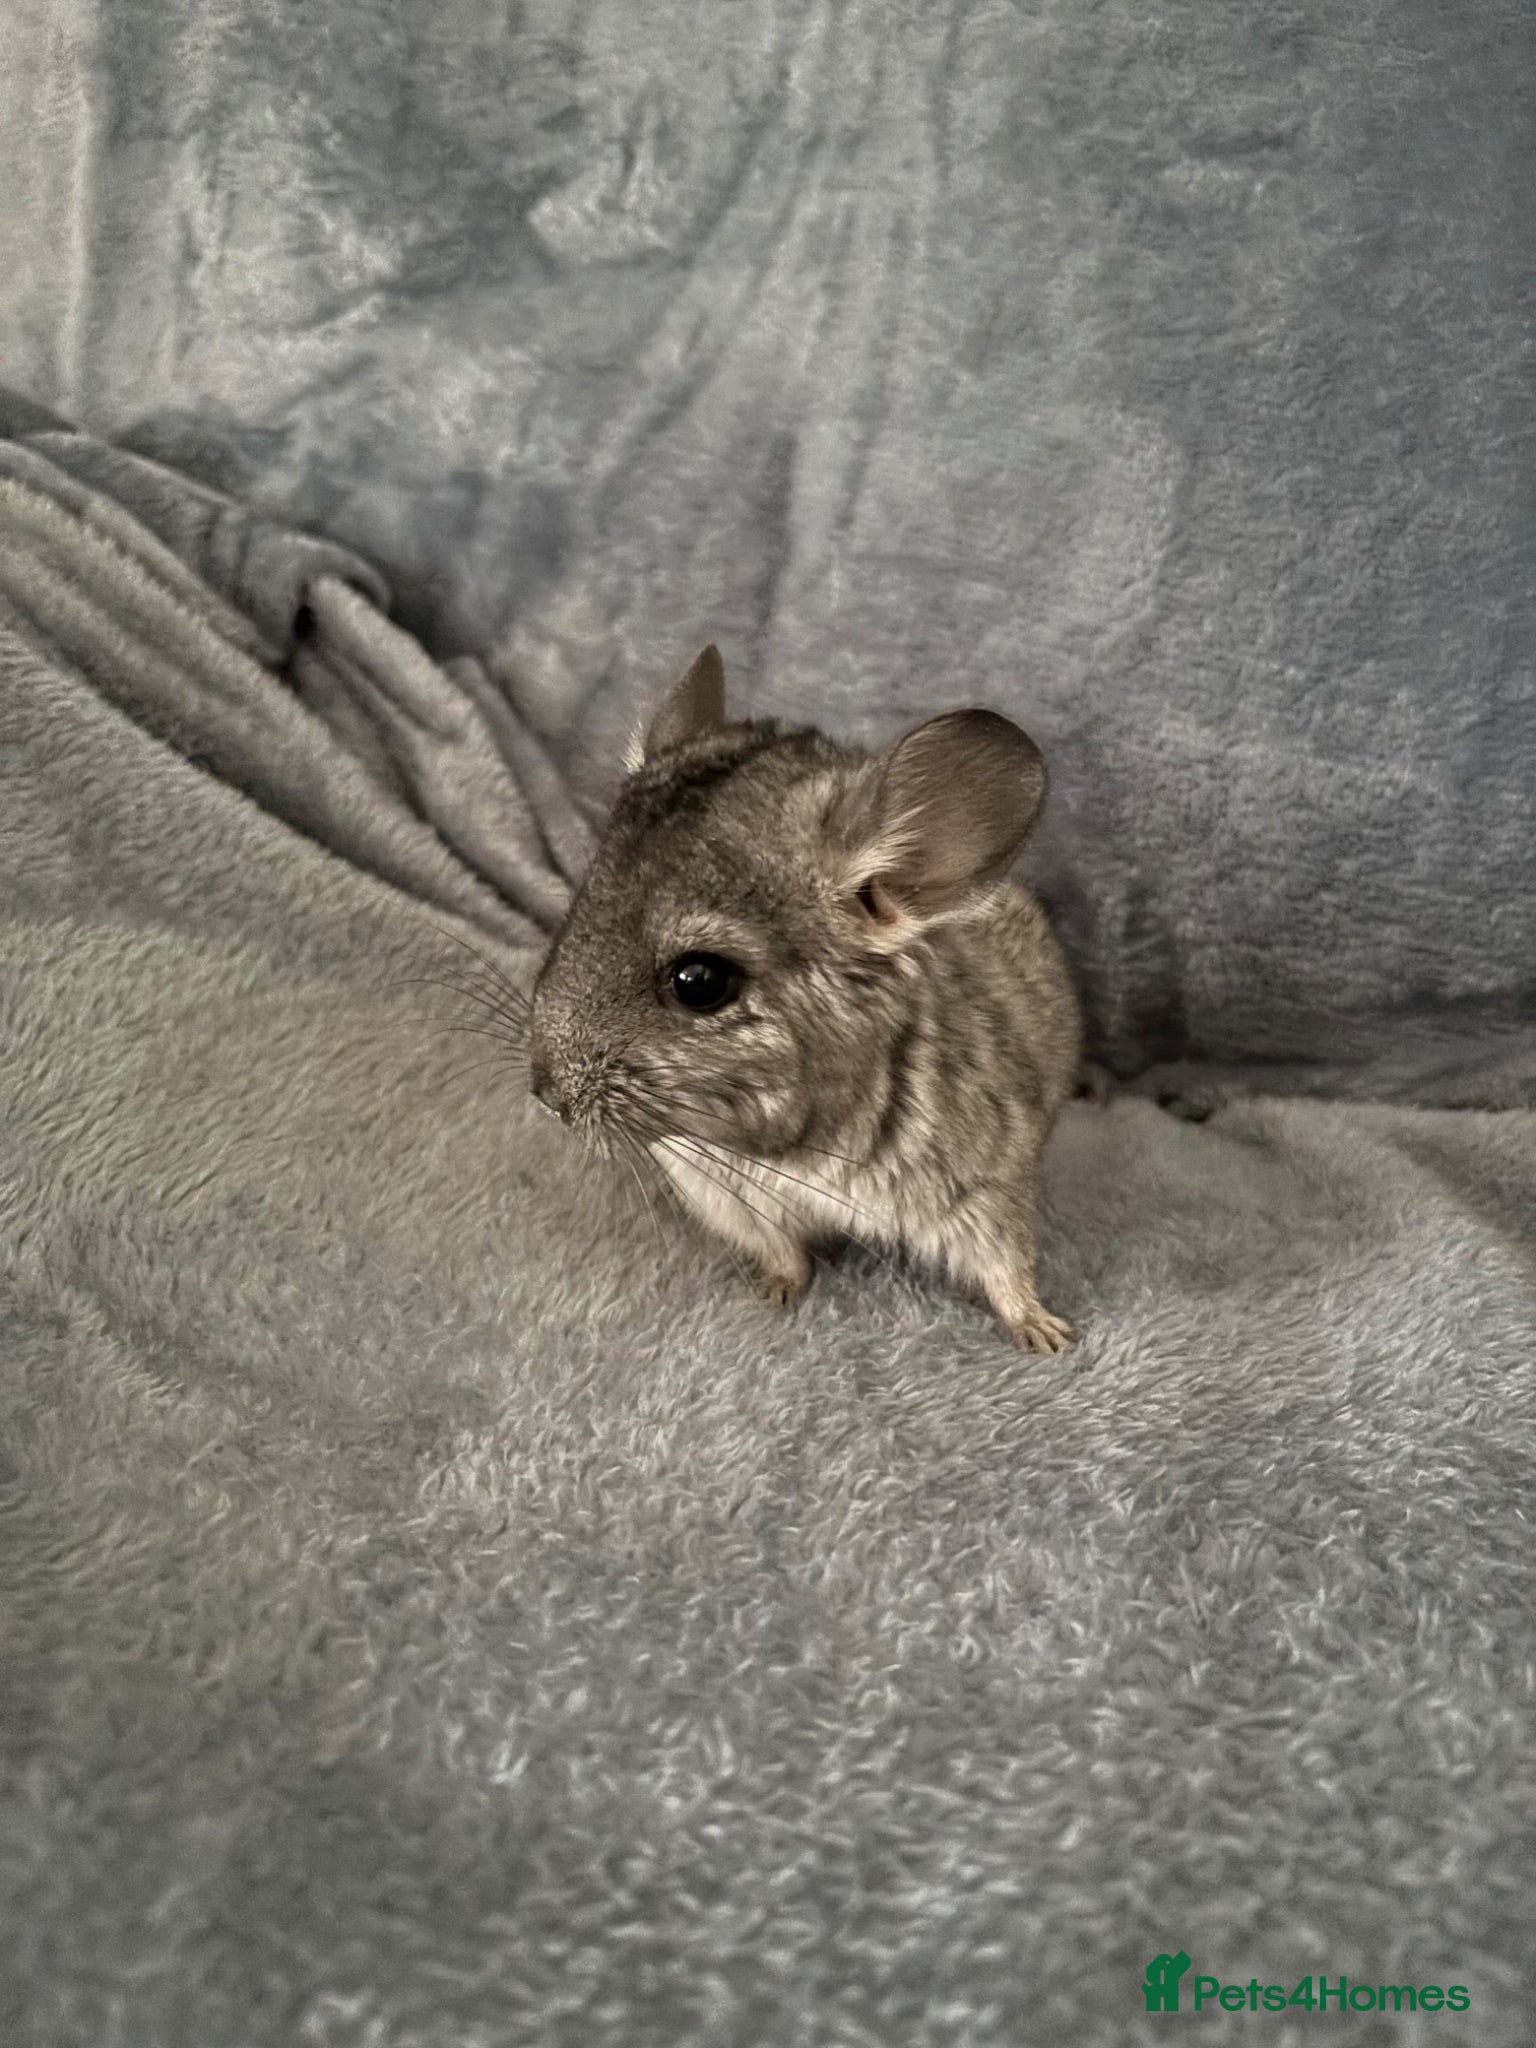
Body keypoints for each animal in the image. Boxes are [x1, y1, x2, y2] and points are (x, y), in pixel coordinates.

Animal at [526, 645, 1082, 1352]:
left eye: (700, 982)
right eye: (577, 913)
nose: (546, 1095)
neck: (797, 1151)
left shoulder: (983, 1182)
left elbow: (1008, 1264)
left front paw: (1046, 1335)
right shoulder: (722, 1196)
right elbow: (782, 1252)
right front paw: (777, 1293)